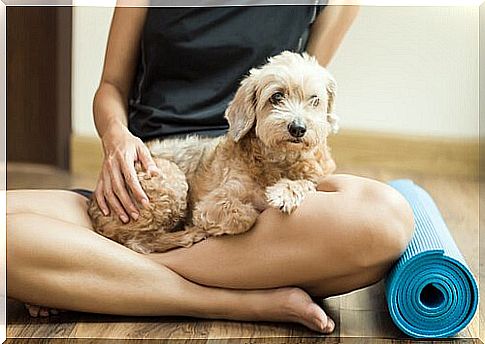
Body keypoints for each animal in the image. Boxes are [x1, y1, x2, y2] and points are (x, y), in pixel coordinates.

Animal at [88, 52, 336, 254]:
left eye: (315, 100)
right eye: (277, 96)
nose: (298, 128)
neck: (277, 160)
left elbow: (305, 182)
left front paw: (285, 192)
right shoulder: (211, 203)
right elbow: (245, 216)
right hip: (170, 182)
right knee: (140, 242)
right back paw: (190, 235)